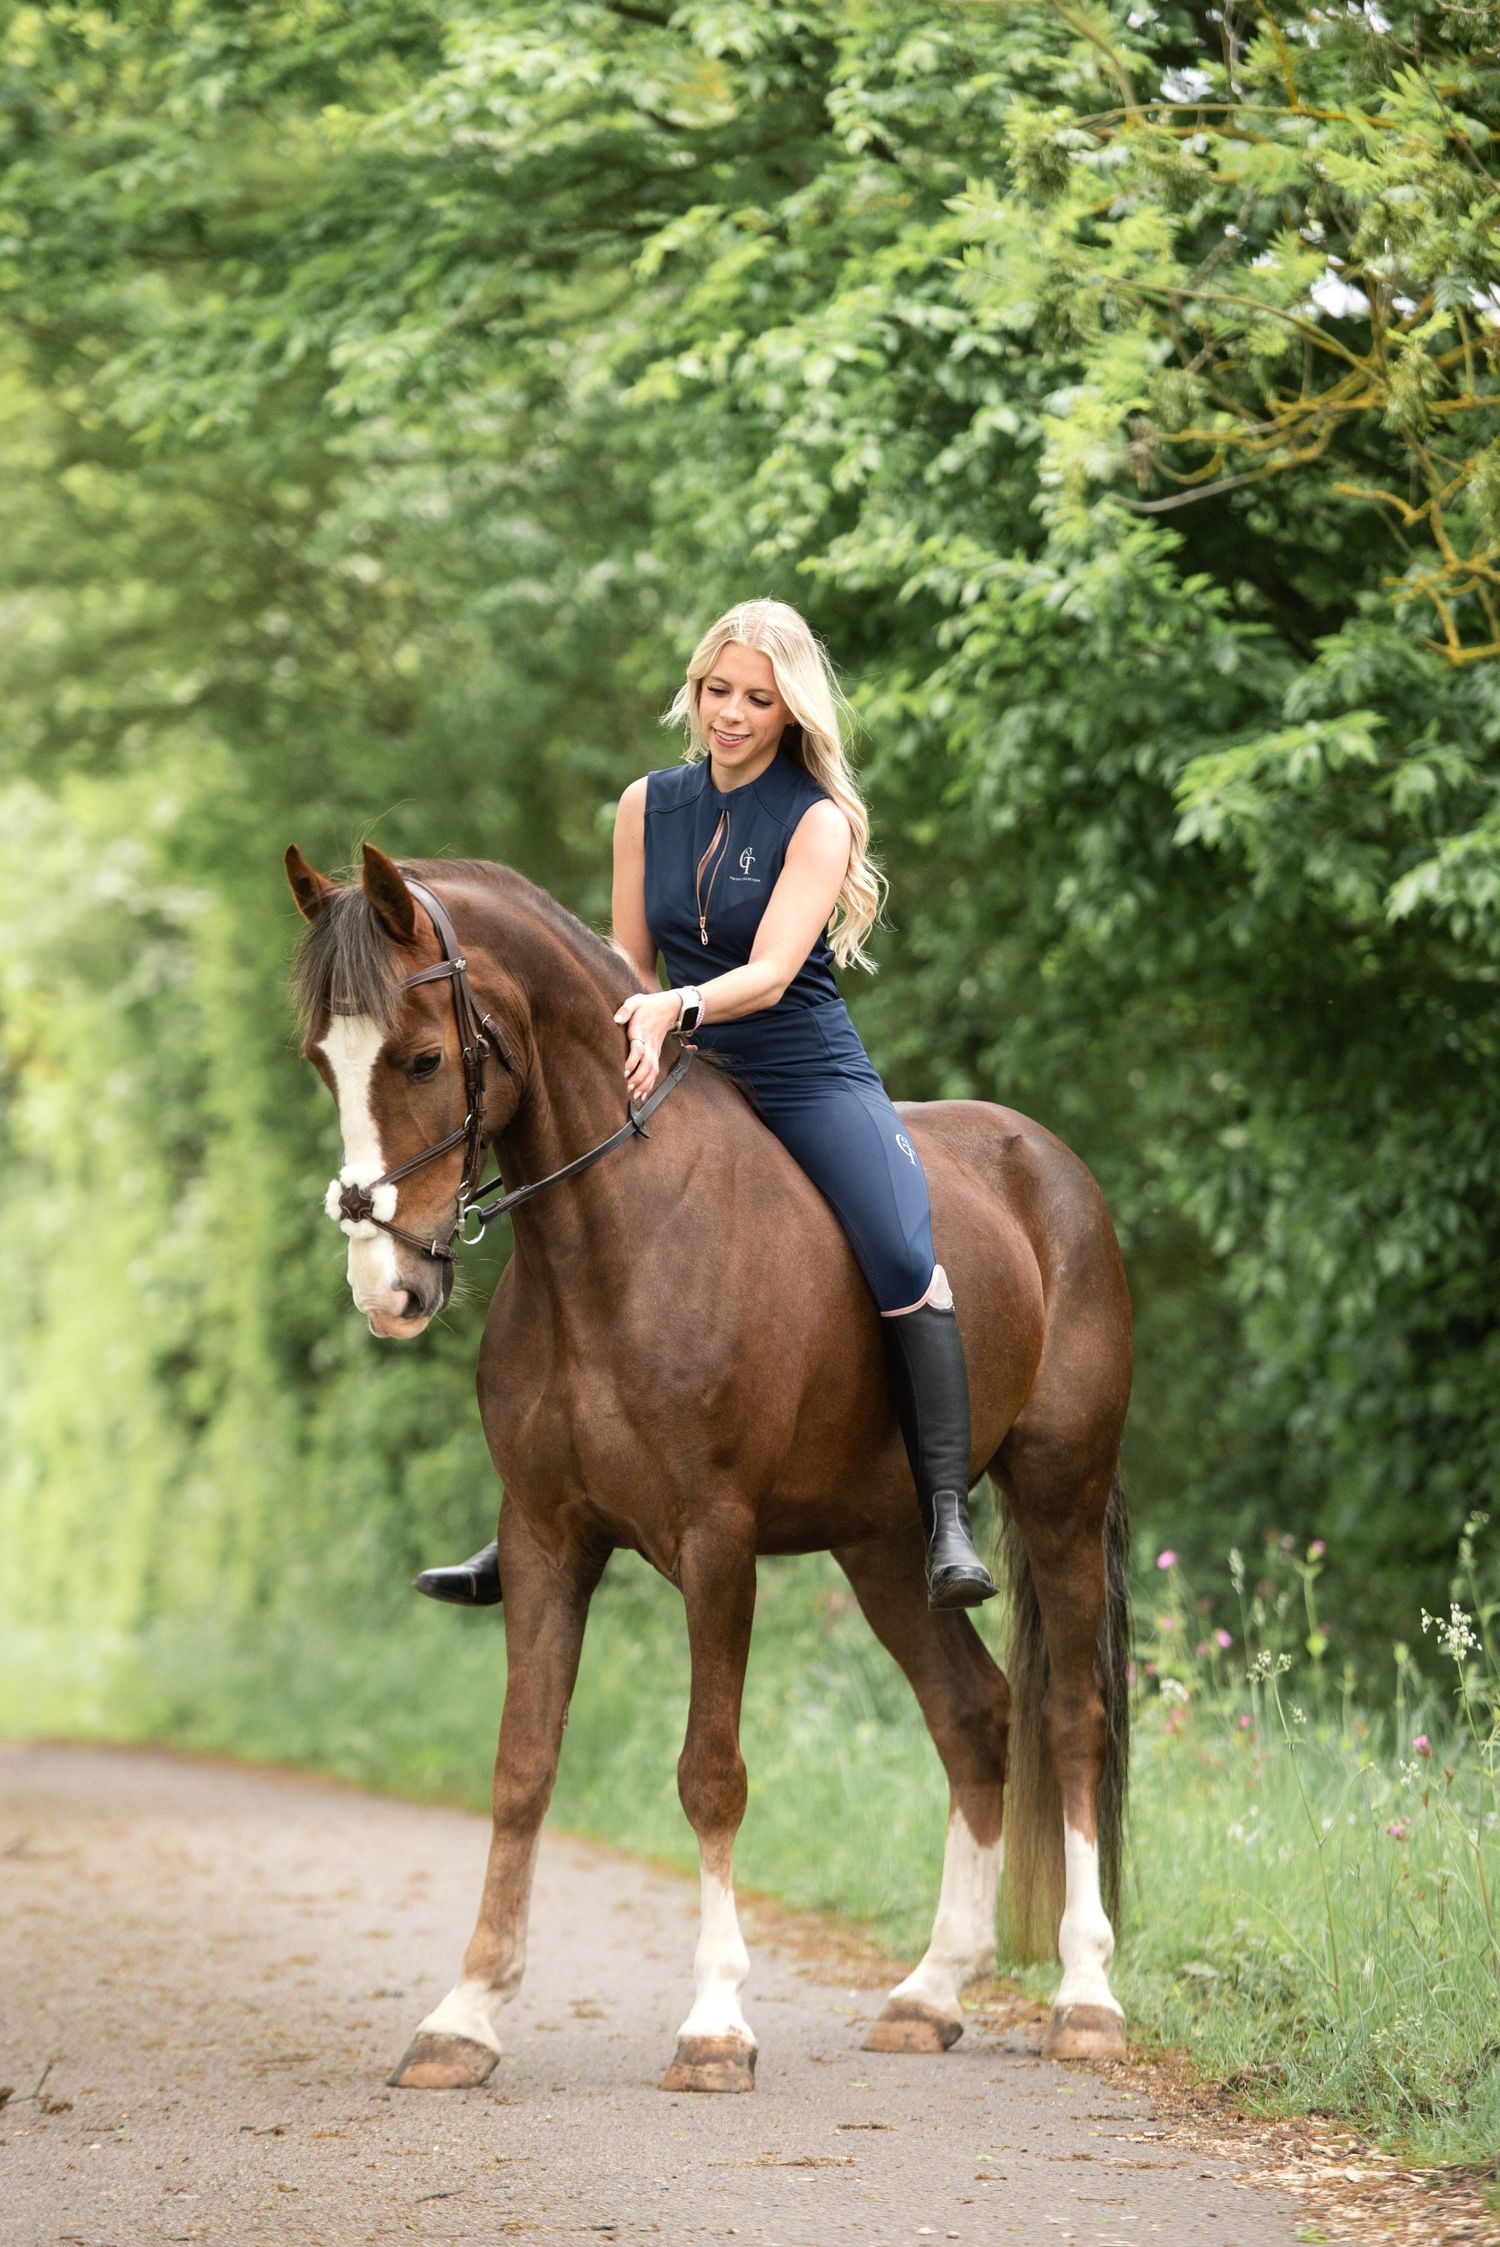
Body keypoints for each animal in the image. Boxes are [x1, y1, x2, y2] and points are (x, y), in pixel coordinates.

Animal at [285, 841, 1133, 2093]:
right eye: (321, 1060)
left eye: (425, 1057)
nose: (389, 1288)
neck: (612, 1240)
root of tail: (1057, 1170)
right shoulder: (546, 1541)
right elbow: (522, 1766)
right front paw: (464, 2018)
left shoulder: (716, 1544)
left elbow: (710, 1773)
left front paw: (717, 2024)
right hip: (884, 1544)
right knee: (974, 1713)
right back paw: (929, 1993)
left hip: (1060, 1496)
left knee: (1071, 1715)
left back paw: (1086, 1999)